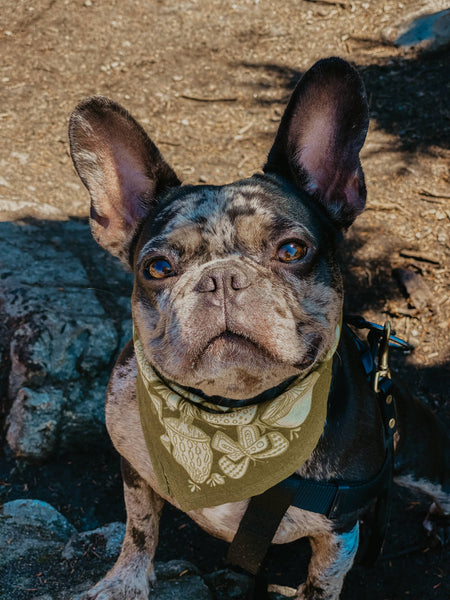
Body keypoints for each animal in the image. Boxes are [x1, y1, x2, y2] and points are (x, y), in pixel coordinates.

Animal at [68, 57, 448, 600]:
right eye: (157, 267)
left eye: (292, 250)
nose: (223, 278)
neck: (234, 415)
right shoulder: (135, 471)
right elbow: (140, 526)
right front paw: (124, 581)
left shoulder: (339, 533)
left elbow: (321, 583)